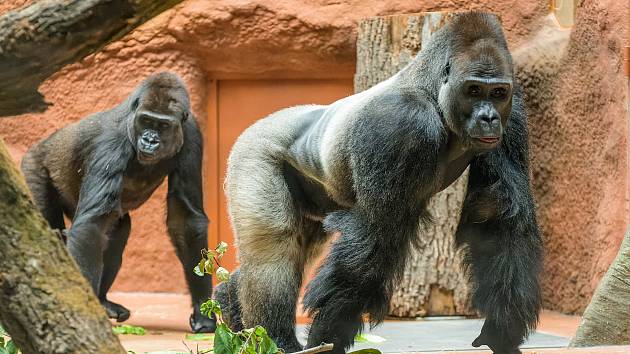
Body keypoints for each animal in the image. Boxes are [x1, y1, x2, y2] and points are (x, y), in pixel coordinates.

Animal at [21, 72, 217, 334]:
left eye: (163, 125)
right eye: (146, 120)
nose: (150, 140)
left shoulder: (192, 133)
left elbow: (184, 219)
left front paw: (203, 309)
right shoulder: (111, 142)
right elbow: (92, 224)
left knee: (117, 230)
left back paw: (104, 301)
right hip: (33, 168)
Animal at [217, 11, 544, 354]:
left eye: (498, 93)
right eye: (473, 90)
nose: (489, 118)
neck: (432, 92)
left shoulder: (513, 113)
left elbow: (500, 218)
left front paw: (501, 331)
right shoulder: (401, 123)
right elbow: (374, 238)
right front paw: (326, 338)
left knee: (299, 245)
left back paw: (230, 305)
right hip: (253, 152)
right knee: (275, 249)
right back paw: (276, 339)